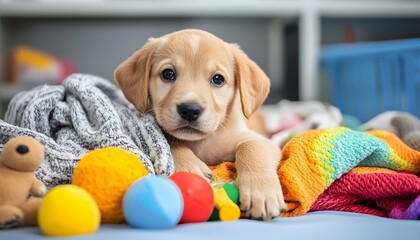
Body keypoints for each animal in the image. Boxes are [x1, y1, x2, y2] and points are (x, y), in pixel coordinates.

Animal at [114, 29, 286, 220]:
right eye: (168, 74)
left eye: (218, 79)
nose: (189, 110)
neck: (202, 142)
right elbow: (171, 142)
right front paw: (191, 169)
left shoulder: (262, 141)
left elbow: (250, 147)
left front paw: (261, 193)